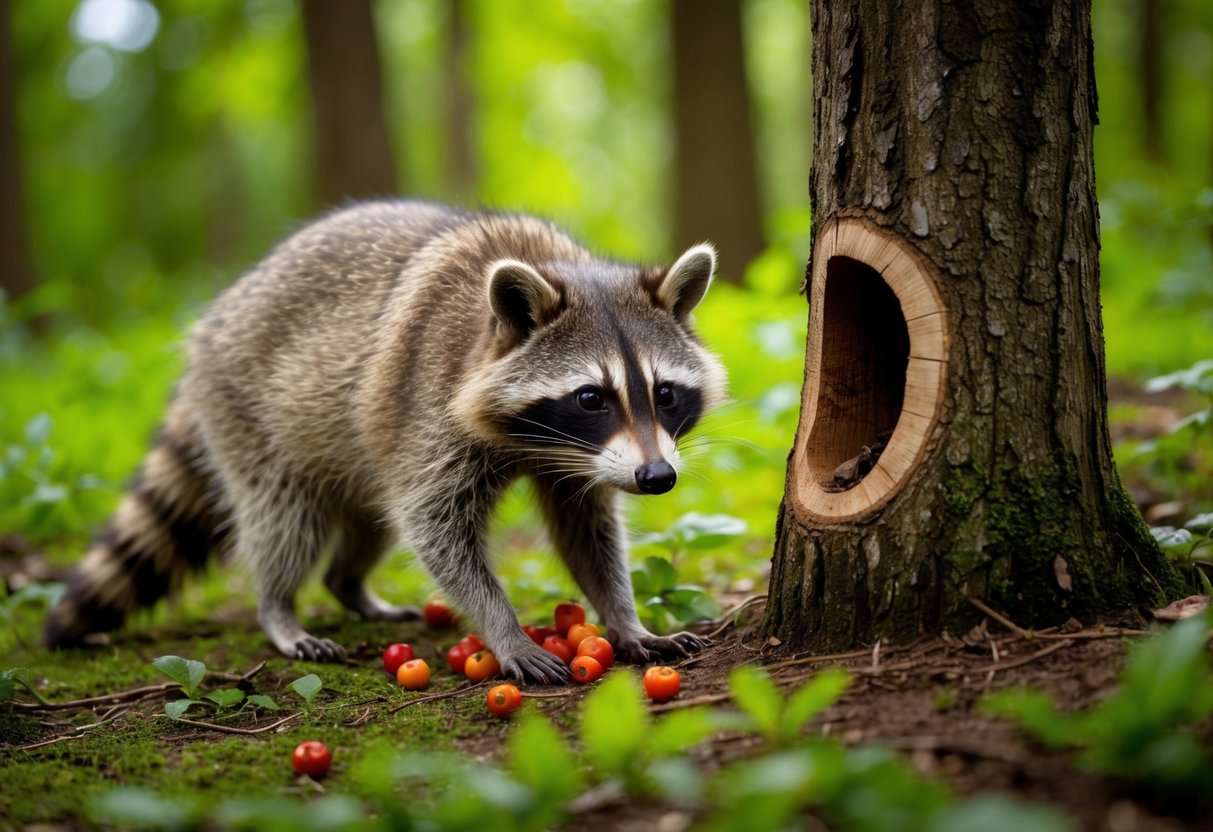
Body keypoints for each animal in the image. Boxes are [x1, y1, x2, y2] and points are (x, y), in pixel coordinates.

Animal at [43, 200, 727, 683]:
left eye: (665, 393)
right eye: (591, 398)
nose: (657, 478)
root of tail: (219, 314)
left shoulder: (581, 459)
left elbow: (586, 530)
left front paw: (623, 616)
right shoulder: (428, 409)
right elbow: (436, 527)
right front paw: (503, 626)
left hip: (353, 452)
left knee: (370, 523)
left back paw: (349, 584)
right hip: (250, 412)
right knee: (285, 521)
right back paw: (278, 606)